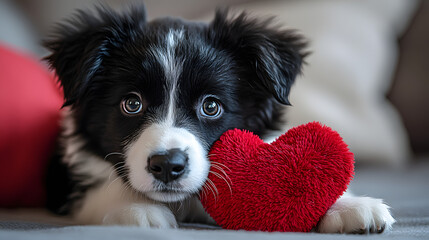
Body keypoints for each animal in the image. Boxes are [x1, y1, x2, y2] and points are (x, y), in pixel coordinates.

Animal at [44, 5, 394, 233]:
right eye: (132, 103)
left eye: (211, 106)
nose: (168, 165)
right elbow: (103, 189)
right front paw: (136, 208)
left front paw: (350, 206)